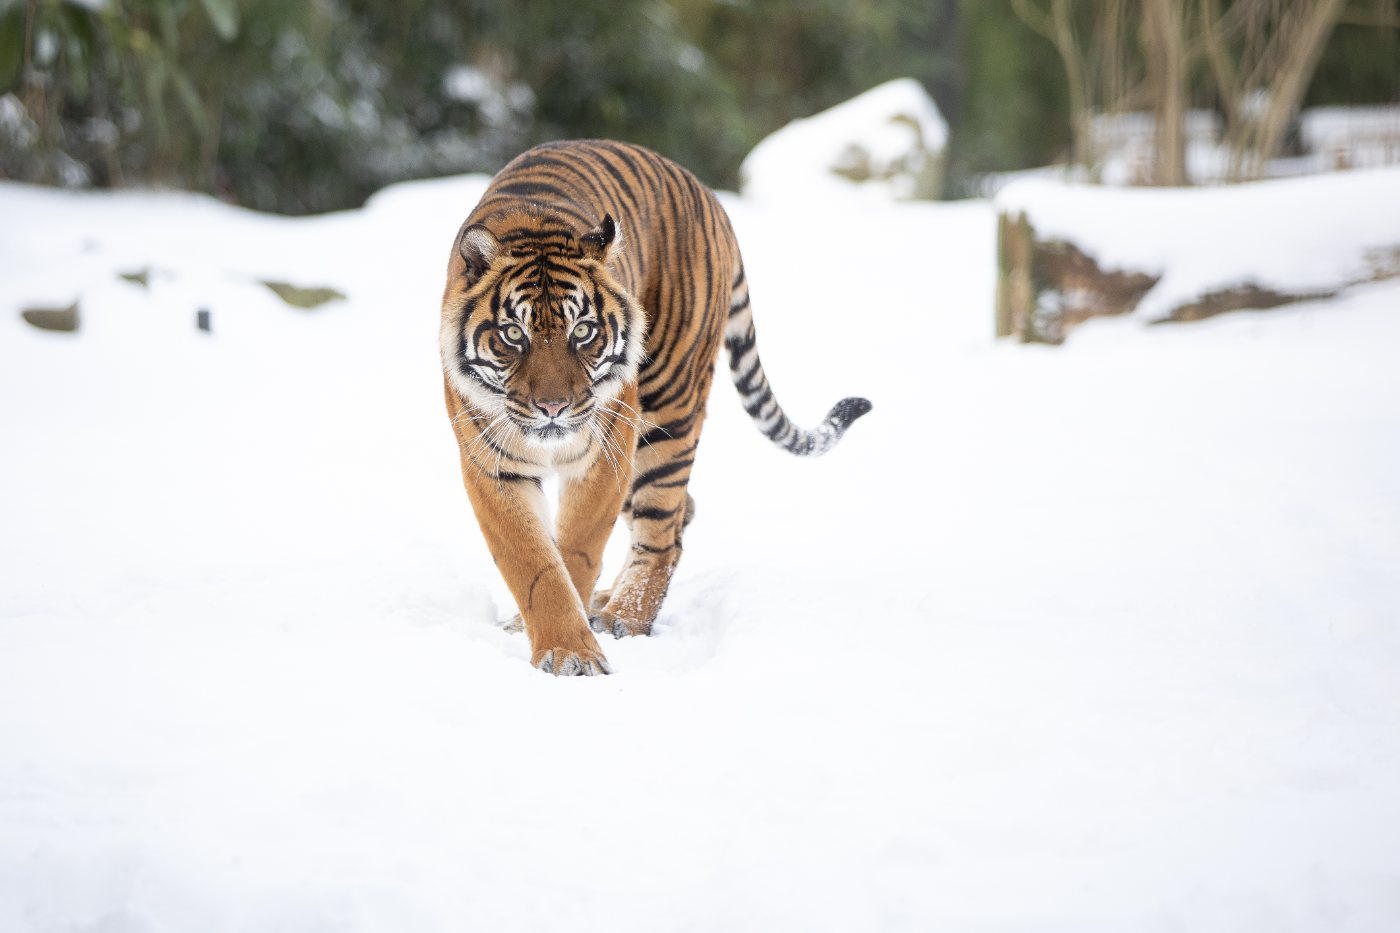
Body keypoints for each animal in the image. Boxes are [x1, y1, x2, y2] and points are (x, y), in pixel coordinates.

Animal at [440, 139, 870, 676]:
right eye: (514, 334)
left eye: (583, 330)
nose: (553, 407)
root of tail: (708, 194)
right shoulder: (493, 465)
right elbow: (534, 564)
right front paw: (562, 645)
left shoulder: (604, 454)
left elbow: (575, 552)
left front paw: (574, 651)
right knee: (684, 512)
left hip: (666, 413)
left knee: (663, 529)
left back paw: (623, 616)